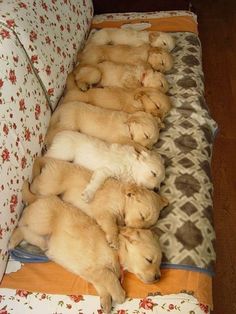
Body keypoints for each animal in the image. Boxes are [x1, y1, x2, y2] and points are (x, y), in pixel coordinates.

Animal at [8, 184, 162, 312]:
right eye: (149, 260)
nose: (158, 277)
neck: (117, 252)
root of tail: (39, 198)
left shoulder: (93, 275)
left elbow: (103, 287)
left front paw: (106, 303)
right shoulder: (96, 268)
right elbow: (110, 276)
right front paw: (119, 294)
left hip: (40, 237)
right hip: (42, 225)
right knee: (21, 226)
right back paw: (12, 242)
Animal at [30, 158, 169, 249]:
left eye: (147, 226)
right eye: (142, 216)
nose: (131, 229)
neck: (123, 199)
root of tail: (50, 161)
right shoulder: (105, 213)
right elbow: (112, 226)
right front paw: (114, 240)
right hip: (50, 186)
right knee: (36, 184)